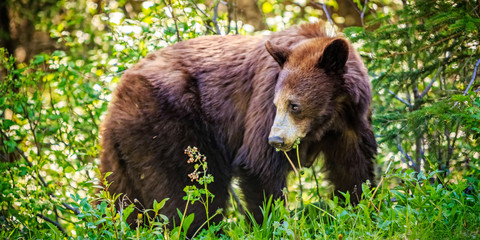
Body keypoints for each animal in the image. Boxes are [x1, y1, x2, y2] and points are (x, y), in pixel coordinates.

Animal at [100, 21, 376, 235]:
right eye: (277, 104)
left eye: (294, 105)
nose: (276, 140)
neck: (330, 113)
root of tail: (116, 96)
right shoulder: (264, 92)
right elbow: (259, 165)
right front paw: (270, 225)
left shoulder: (352, 122)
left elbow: (354, 170)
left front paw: (364, 212)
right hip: (168, 125)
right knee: (190, 193)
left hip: (126, 148)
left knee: (120, 196)